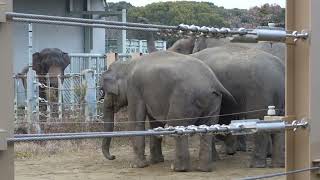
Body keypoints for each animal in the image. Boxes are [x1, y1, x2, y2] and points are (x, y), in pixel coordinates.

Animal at [100, 50, 238, 172]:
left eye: (105, 91)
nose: (113, 156)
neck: (127, 64)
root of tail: (213, 82)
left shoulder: (134, 89)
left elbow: (136, 121)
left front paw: (137, 166)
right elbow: (155, 122)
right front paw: (156, 161)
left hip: (183, 99)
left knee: (176, 124)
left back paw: (178, 168)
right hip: (213, 101)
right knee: (208, 127)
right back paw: (204, 169)